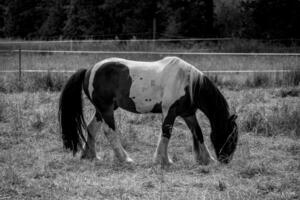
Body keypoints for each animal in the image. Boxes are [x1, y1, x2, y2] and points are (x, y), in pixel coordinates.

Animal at [57, 56, 238, 166]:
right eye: (230, 136)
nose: (226, 159)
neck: (187, 82)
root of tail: (89, 70)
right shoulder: (170, 112)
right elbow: (166, 133)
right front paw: (163, 160)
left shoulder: (188, 114)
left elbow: (198, 133)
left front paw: (207, 159)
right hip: (106, 109)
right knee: (109, 131)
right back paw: (125, 158)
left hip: (102, 110)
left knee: (91, 128)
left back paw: (91, 155)